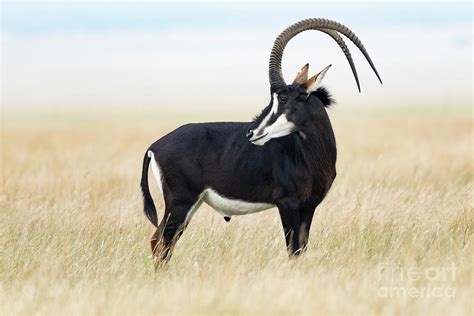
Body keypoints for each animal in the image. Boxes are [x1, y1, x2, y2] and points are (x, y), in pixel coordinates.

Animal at [140, 17, 382, 264]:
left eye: (284, 98)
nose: (251, 132)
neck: (308, 155)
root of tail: (154, 147)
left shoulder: (308, 207)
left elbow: (302, 249)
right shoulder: (287, 204)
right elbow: (293, 251)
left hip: (190, 204)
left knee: (161, 241)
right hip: (180, 203)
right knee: (161, 242)